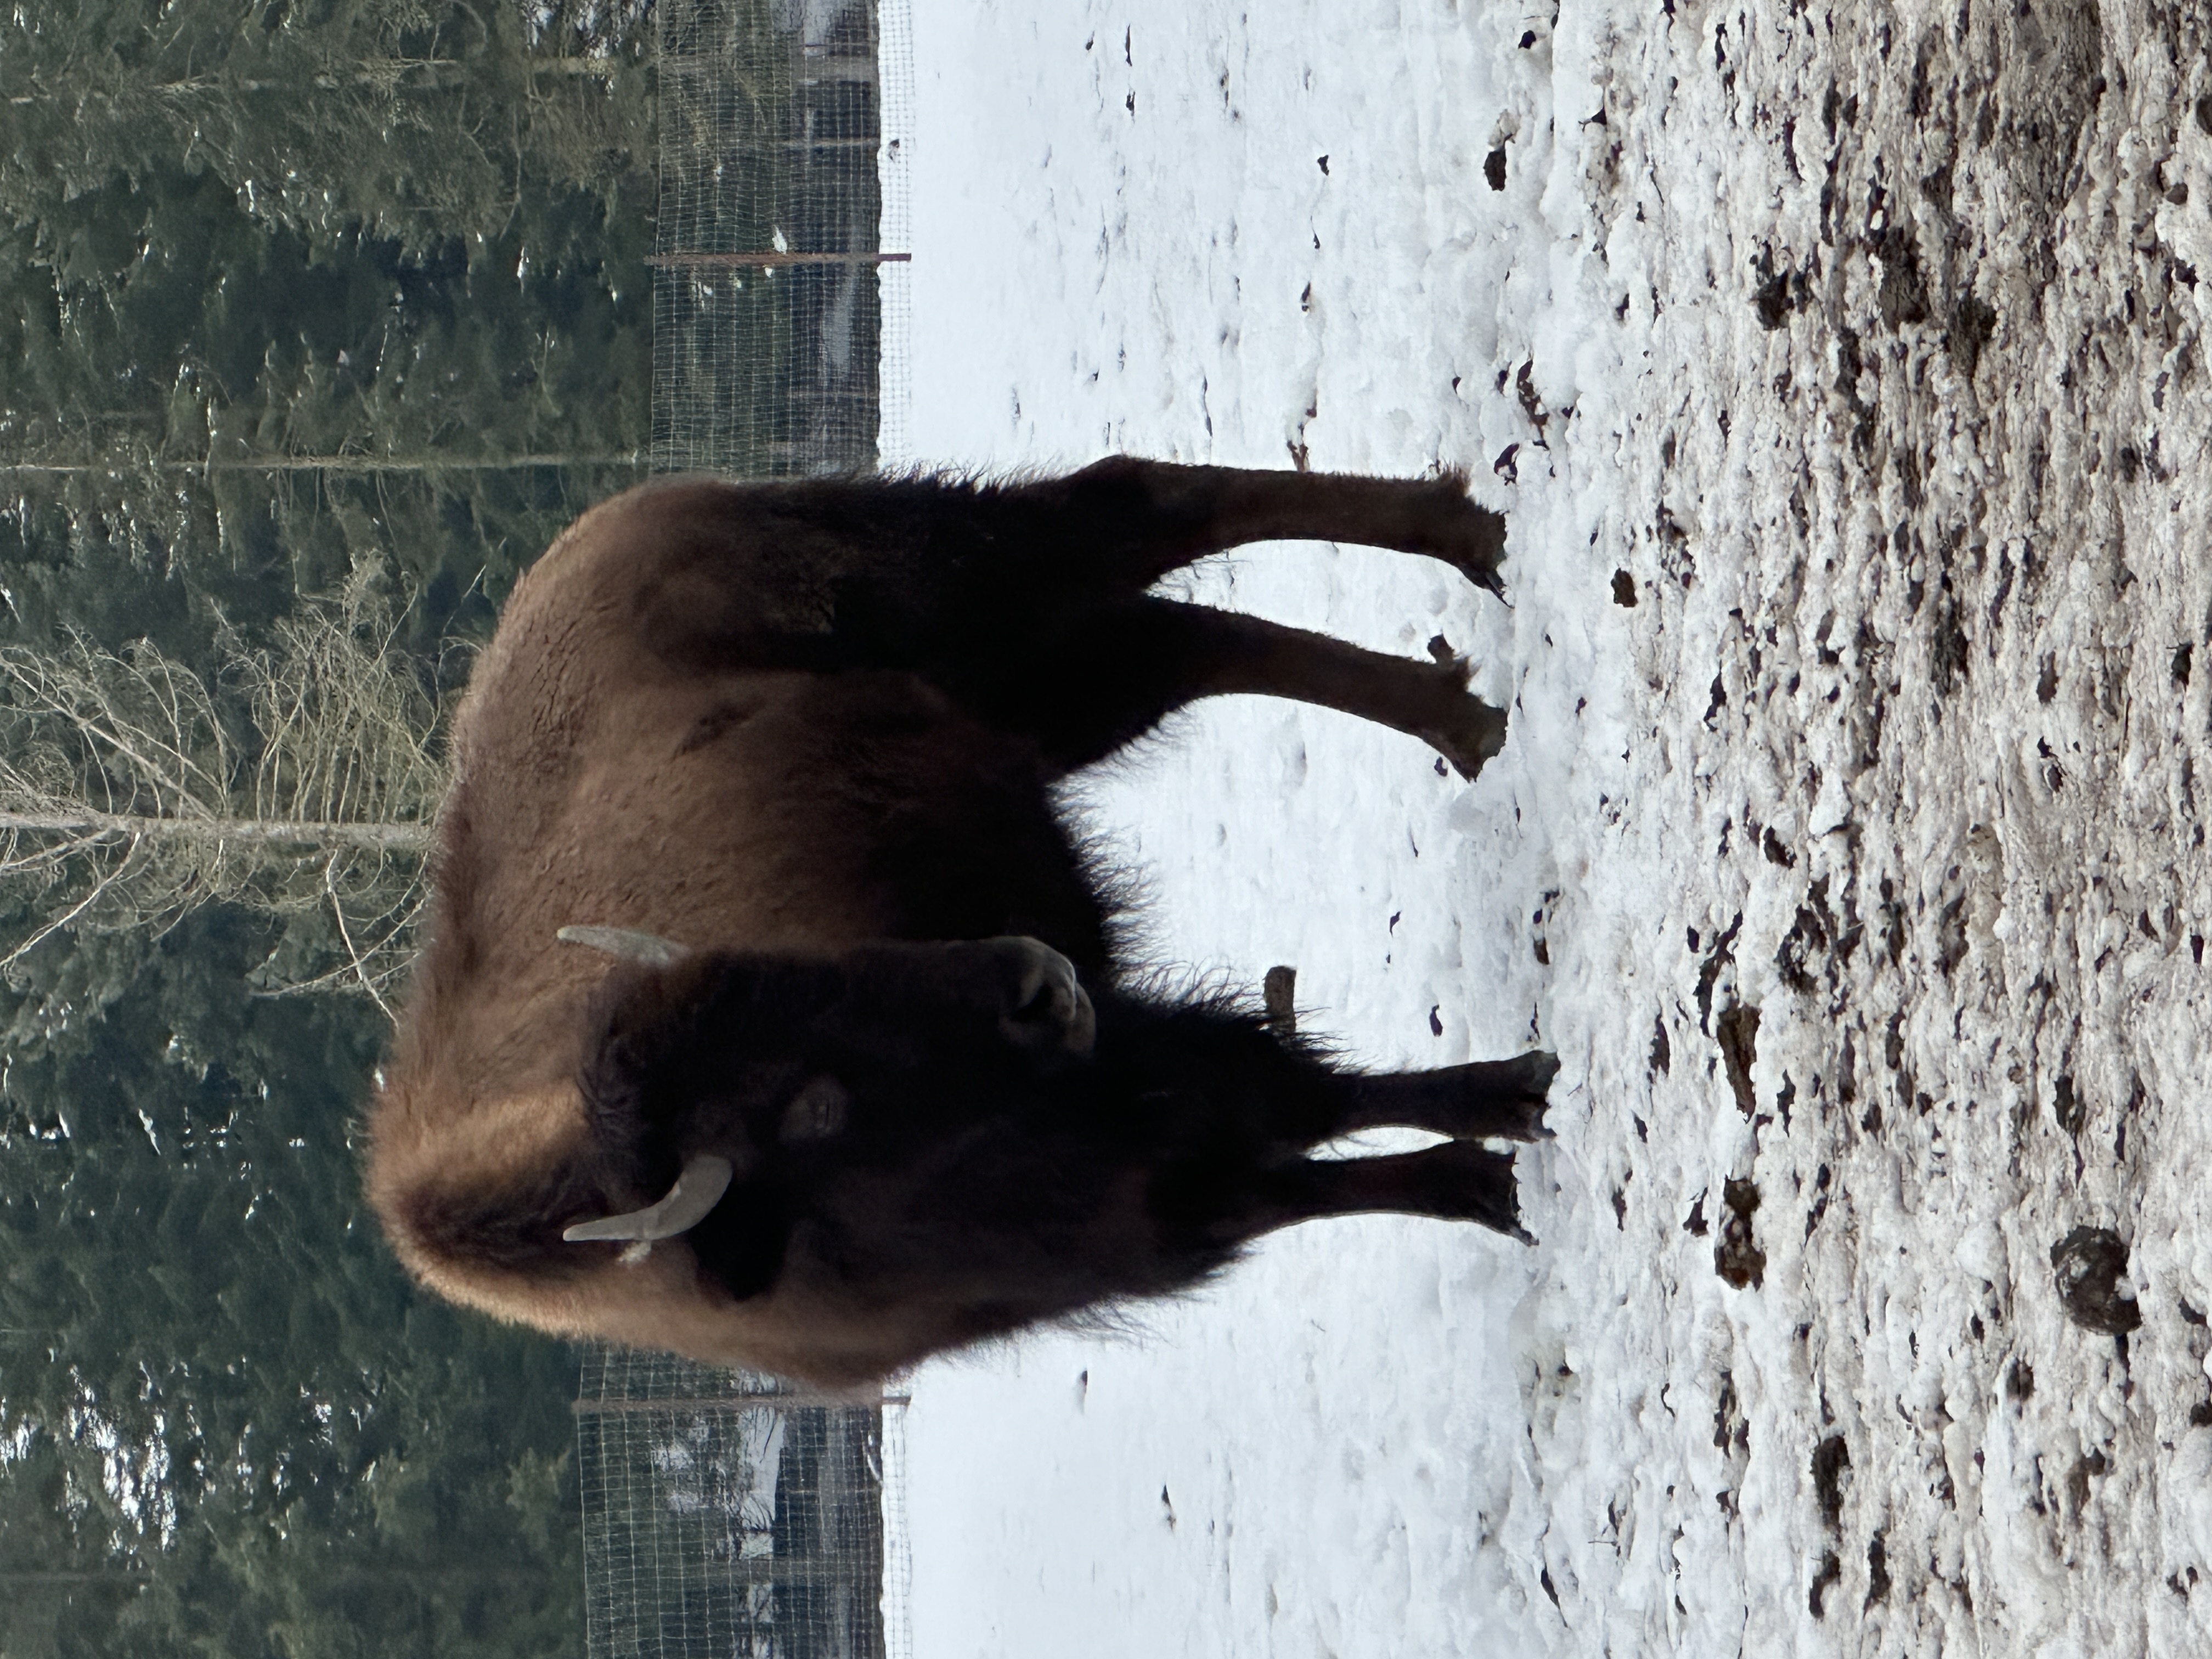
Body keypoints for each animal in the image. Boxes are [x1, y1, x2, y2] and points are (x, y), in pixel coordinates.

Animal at [368, 459, 1555, 1386]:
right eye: (812, 1107)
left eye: (808, 968)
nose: (1037, 985)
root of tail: (614, 528)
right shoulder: (1136, 1200)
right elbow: (1296, 1156)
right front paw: (1483, 1173)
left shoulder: (1139, 1067)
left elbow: (1305, 1097)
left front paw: (1518, 1103)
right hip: (1046, 690)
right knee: (1193, 637)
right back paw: (1461, 705)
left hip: (967, 580)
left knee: (1145, 506)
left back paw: (1468, 565)